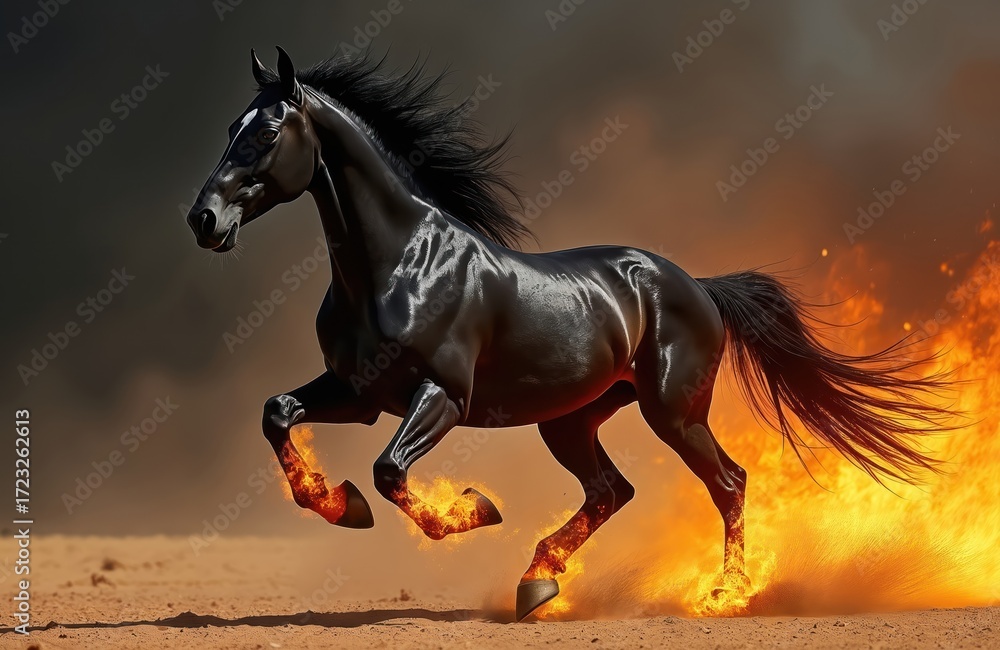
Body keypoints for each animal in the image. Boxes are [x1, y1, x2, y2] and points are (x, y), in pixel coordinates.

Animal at [185, 47, 951, 621]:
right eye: (227, 129)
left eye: (264, 133)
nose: (204, 220)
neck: (398, 263)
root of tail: (698, 286)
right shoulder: (358, 392)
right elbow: (278, 413)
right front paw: (338, 505)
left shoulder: (442, 398)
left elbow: (390, 471)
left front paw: (471, 508)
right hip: (571, 419)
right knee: (611, 491)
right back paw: (538, 580)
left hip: (672, 411)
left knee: (727, 482)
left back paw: (726, 593)